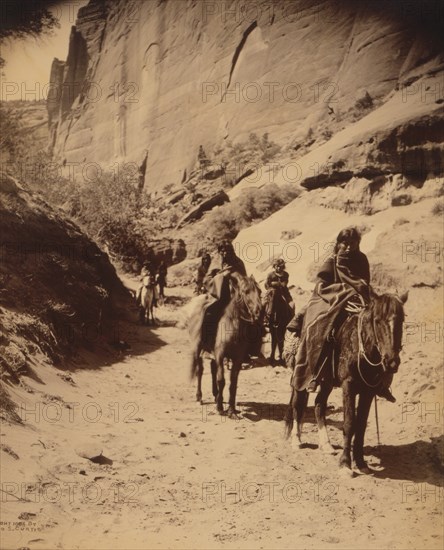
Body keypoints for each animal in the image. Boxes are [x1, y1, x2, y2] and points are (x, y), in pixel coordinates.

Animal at [188, 272, 264, 418]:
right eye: (246, 291)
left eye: (259, 291)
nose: (259, 312)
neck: (233, 326)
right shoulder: (220, 354)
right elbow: (221, 380)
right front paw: (219, 408)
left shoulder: (237, 359)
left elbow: (233, 383)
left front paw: (231, 409)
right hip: (198, 348)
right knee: (200, 371)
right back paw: (199, 396)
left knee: (212, 369)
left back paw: (216, 394)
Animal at [286, 292, 408, 476]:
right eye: (377, 320)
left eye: (401, 320)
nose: (391, 361)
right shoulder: (348, 386)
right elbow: (349, 424)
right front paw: (345, 464)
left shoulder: (368, 391)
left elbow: (361, 425)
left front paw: (361, 462)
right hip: (302, 375)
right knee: (298, 404)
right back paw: (296, 440)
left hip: (327, 381)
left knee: (319, 404)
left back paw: (326, 445)